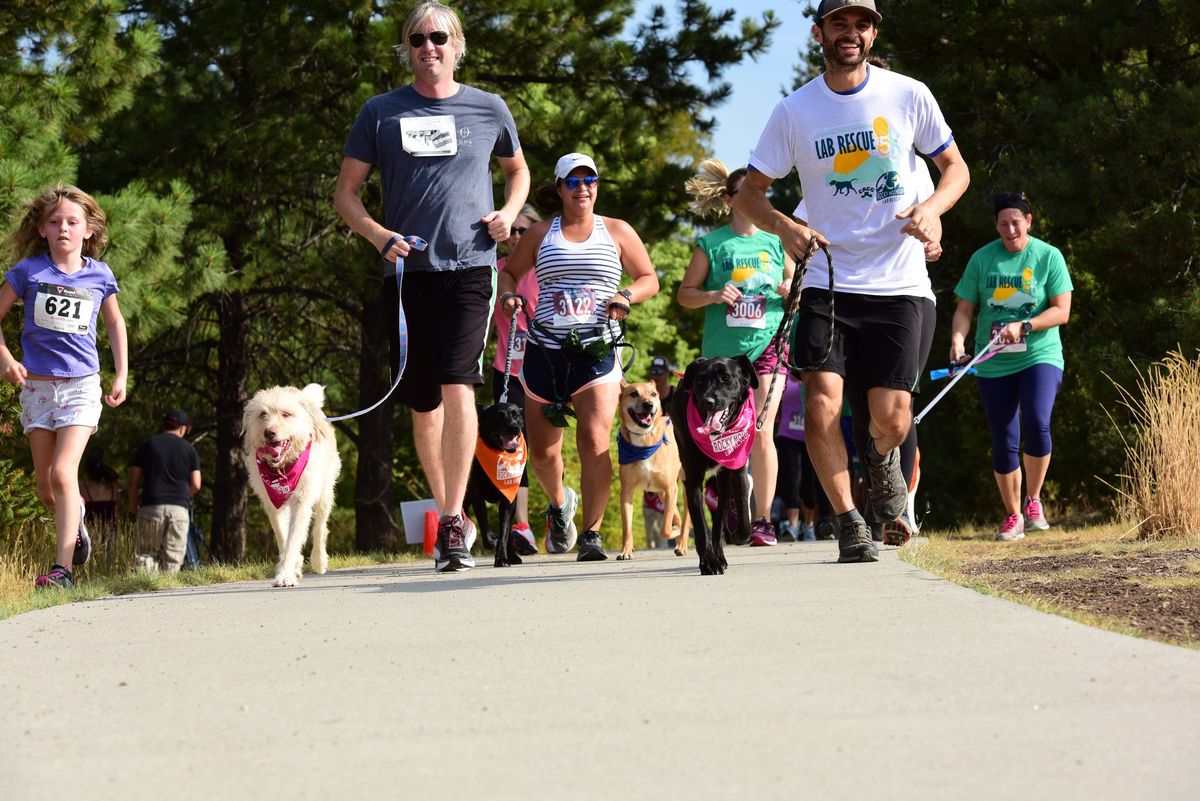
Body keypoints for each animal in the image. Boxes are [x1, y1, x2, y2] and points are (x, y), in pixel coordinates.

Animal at [241, 383, 340, 585]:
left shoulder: (301, 501)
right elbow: (283, 536)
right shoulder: (272, 503)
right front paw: (292, 566)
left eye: (286, 414)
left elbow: (294, 539)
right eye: (262, 414)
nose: (269, 433)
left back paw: (319, 560)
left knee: (320, 527)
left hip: (325, 491)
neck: (282, 469)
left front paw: (285, 575)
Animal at [465, 402, 528, 565]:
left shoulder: (509, 499)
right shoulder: (477, 498)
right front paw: (492, 540)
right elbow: (485, 530)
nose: (514, 427)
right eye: (499, 416)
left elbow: (505, 532)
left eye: (516, 415)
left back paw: (512, 556)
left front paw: (502, 558)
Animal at [619, 381, 686, 556]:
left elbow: (665, 530)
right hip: (662, 494)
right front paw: (626, 551)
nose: (648, 405)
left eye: (654, 394)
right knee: (678, 517)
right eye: (634, 393)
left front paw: (674, 531)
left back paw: (682, 544)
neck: (644, 439)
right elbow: (627, 528)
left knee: (687, 519)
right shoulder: (627, 492)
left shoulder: (670, 489)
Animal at [667, 357, 758, 575]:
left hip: (723, 486)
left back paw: (721, 554)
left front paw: (737, 537)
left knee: (719, 522)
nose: (707, 401)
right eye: (700, 381)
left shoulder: (737, 469)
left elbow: (742, 519)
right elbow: (701, 526)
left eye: (726, 378)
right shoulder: (692, 479)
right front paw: (708, 563)